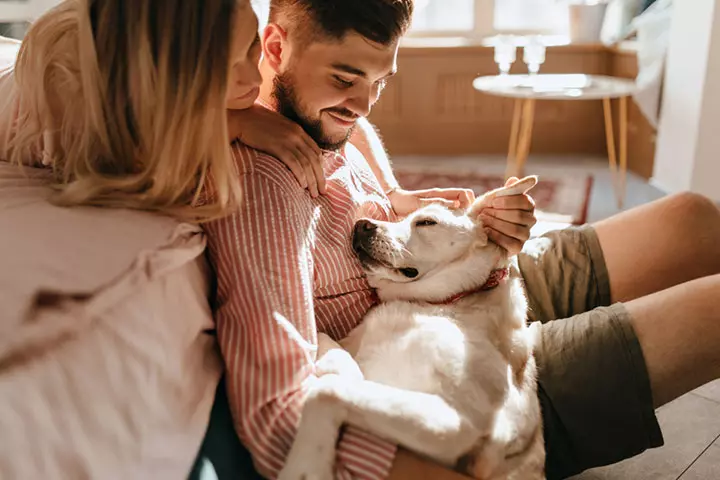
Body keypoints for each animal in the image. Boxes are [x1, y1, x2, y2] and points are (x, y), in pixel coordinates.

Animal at [280, 176, 544, 480]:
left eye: (426, 222)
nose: (361, 224)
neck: (440, 303)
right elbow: (335, 354)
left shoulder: (455, 422)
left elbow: (329, 391)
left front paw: (305, 466)